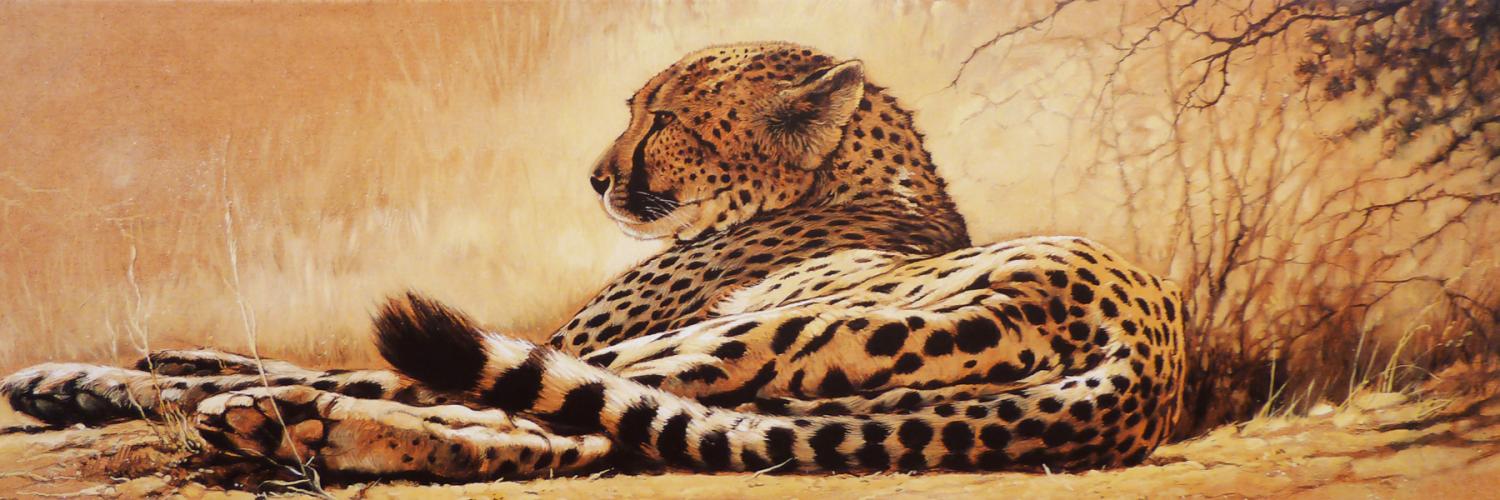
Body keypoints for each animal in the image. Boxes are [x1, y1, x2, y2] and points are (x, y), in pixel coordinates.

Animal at [0, 41, 1186, 481]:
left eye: (663, 118)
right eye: (635, 105)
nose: (594, 176)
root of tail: (1136, 353)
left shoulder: (599, 333)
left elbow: (310, 358)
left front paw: (85, 378)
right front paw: (120, 369)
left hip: (724, 342)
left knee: (461, 398)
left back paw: (273, 420)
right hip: (788, 395)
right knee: (555, 433)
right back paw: (294, 428)